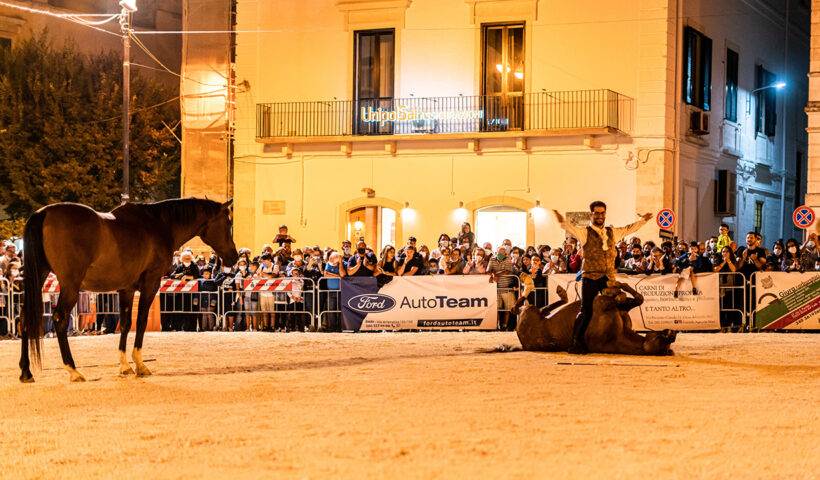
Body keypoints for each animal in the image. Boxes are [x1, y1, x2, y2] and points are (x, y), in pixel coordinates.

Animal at [19, 198, 237, 382]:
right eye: (227, 224)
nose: (234, 257)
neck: (159, 225)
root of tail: (43, 213)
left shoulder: (126, 289)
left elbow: (125, 324)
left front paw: (124, 366)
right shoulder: (151, 283)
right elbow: (141, 321)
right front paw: (140, 365)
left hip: (39, 277)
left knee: (24, 317)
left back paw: (26, 371)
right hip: (70, 285)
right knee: (59, 319)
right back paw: (73, 370)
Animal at [516, 280, 676, 354]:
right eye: (665, 341)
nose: (671, 333)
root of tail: (524, 345)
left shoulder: (601, 303)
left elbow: (622, 297)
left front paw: (616, 287)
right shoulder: (619, 308)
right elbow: (637, 298)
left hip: (529, 312)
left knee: (519, 308)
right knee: (543, 309)